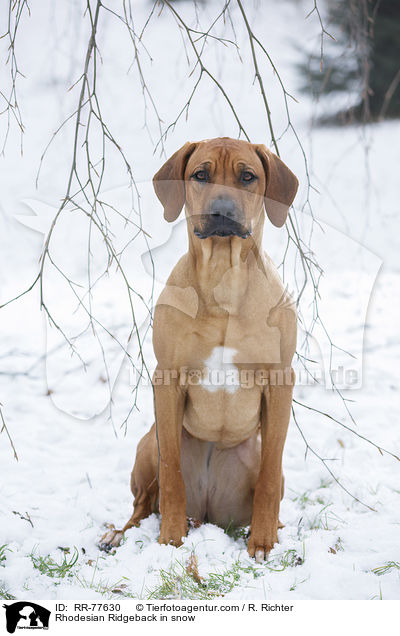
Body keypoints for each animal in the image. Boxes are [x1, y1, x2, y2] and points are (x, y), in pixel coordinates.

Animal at [101, 138, 296, 560]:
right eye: (201, 174)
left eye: (247, 176)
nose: (222, 210)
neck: (224, 279)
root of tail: (208, 514)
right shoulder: (167, 378)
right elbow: (172, 473)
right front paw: (170, 539)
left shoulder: (279, 381)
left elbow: (270, 476)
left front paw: (263, 542)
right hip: (148, 444)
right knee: (143, 504)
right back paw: (121, 534)